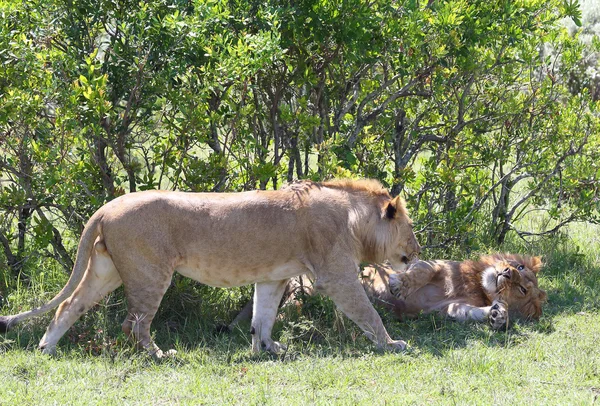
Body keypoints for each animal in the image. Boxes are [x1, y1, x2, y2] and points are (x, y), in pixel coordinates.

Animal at [0, 179, 420, 356]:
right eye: (409, 228)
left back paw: (46, 349)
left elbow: (263, 316)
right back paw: (160, 355)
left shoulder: (273, 276)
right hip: (150, 273)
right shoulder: (335, 274)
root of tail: (107, 206)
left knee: (69, 306)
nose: (417, 251)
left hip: (108, 270)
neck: (354, 217)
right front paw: (393, 344)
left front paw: (268, 348)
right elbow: (366, 312)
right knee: (133, 323)